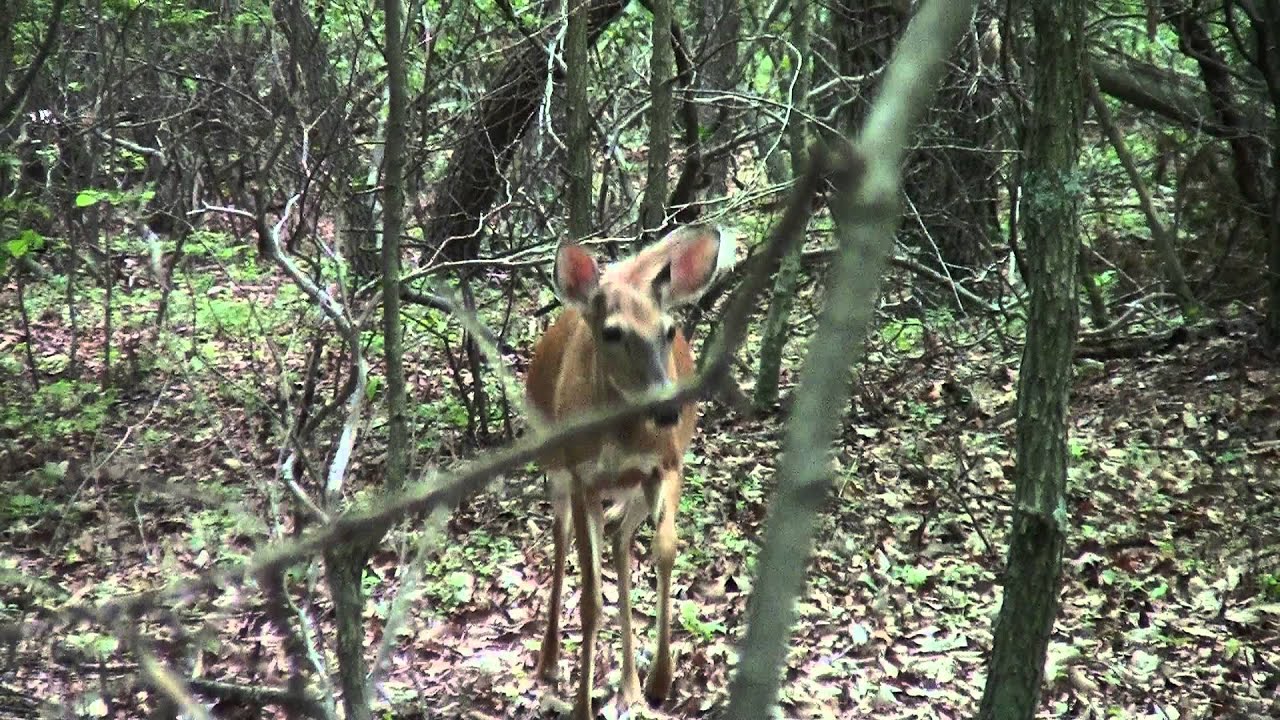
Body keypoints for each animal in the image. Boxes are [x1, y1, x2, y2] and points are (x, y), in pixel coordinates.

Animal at [525, 225, 731, 719]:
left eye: (669, 330)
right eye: (612, 332)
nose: (668, 409)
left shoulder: (667, 465)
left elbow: (665, 550)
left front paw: (660, 679)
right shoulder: (582, 476)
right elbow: (589, 599)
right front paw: (581, 707)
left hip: (634, 489)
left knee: (620, 537)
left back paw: (631, 686)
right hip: (555, 467)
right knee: (561, 539)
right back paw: (549, 661)